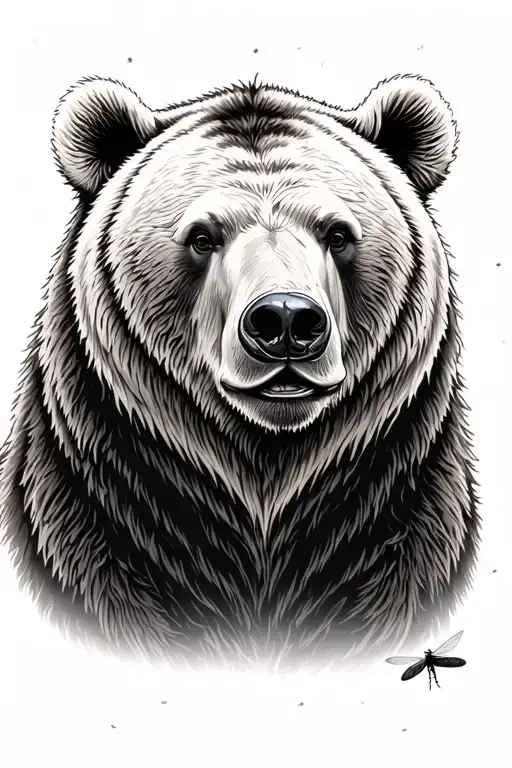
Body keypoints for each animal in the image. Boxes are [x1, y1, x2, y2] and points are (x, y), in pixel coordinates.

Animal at [0, 73, 480, 672]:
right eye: (202, 236)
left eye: (338, 233)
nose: (285, 321)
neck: (262, 483)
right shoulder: (98, 515)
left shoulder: (396, 519)